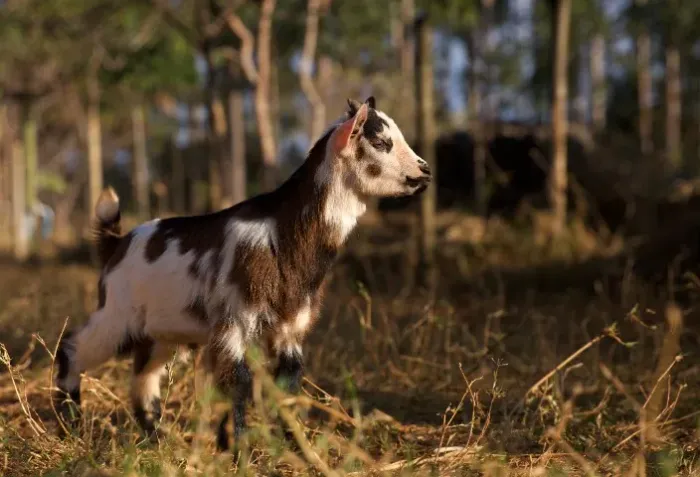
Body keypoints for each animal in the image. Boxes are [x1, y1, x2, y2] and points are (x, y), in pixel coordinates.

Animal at [54, 96, 432, 451]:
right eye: (381, 142)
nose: (425, 171)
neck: (282, 231)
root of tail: (117, 242)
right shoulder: (234, 323)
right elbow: (239, 384)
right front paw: (239, 450)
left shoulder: (290, 328)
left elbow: (288, 385)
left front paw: (294, 447)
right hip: (117, 316)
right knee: (71, 348)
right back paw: (69, 426)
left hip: (159, 334)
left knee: (144, 379)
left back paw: (157, 439)